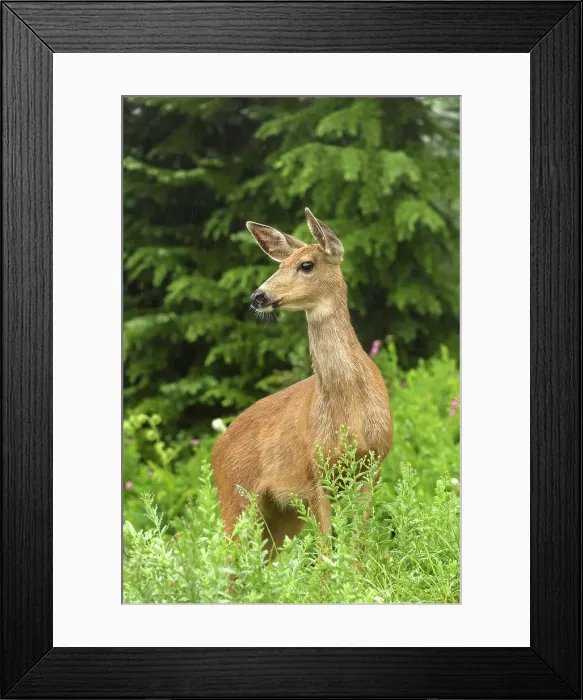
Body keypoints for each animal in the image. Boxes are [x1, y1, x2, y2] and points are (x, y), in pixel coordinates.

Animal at [211, 208, 392, 554]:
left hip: (280, 514)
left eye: (306, 265)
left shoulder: (373, 464)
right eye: (279, 265)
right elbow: (326, 549)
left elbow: (359, 541)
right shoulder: (314, 473)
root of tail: (214, 450)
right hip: (237, 498)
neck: (350, 410)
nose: (258, 296)